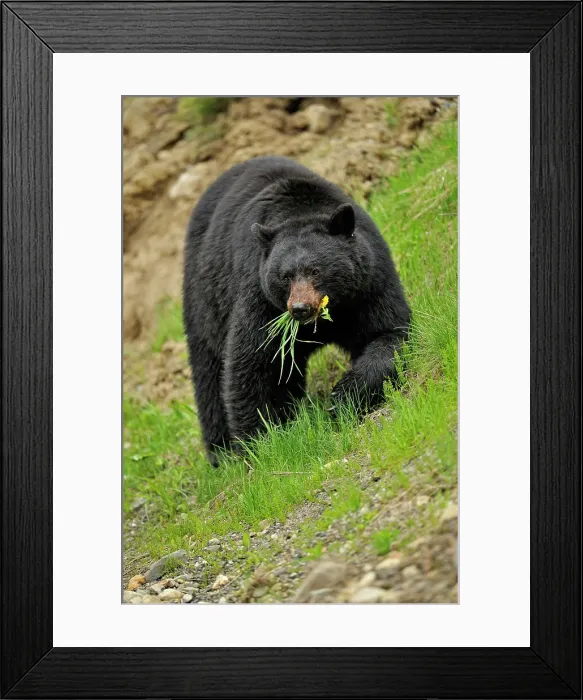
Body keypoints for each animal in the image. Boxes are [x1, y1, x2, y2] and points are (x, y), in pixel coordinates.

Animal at [183, 156, 411, 466]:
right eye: (285, 276)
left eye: (316, 270)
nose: (300, 308)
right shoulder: (260, 298)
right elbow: (252, 364)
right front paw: (261, 444)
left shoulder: (369, 284)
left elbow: (389, 333)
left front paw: (344, 397)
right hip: (204, 298)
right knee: (208, 373)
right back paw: (221, 453)